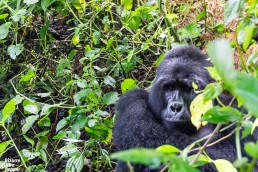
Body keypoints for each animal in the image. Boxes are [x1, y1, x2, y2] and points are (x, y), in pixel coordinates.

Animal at [113, 45, 258, 171]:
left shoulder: (240, 110)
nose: (175, 107)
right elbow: (140, 132)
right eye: (170, 88)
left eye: (188, 89)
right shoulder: (132, 99)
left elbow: (228, 158)